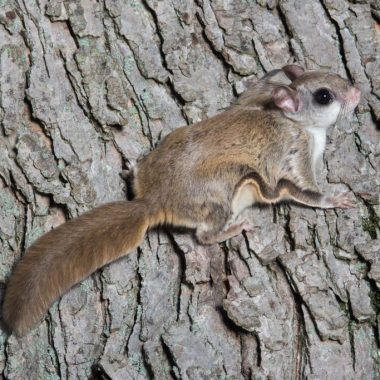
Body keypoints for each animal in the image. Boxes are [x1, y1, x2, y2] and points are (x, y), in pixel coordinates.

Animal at [2, 63, 360, 334]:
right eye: (324, 96)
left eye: (330, 72)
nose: (357, 91)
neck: (292, 121)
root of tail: (155, 201)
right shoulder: (294, 156)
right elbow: (306, 191)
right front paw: (337, 199)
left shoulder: (256, 98)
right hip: (221, 195)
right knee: (205, 235)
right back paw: (233, 227)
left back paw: (131, 169)